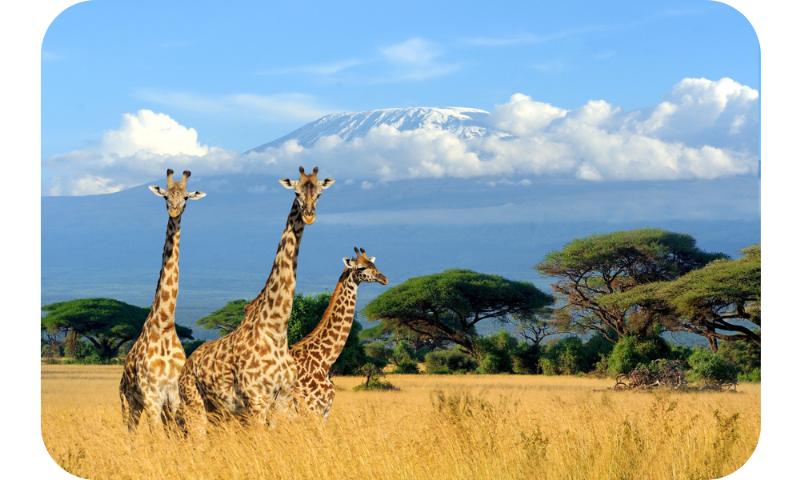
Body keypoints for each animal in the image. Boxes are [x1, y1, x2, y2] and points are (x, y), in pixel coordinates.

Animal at [119, 169, 206, 432]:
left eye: (186, 198)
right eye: (166, 196)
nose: (174, 211)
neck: (165, 325)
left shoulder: (174, 396)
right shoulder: (152, 396)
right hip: (128, 403)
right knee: (129, 434)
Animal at [177, 166, 334, 431]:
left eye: (320, 194)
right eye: (296, 192)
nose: (309, 215)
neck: (276, 330)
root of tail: (186, 366)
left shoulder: (283, 399)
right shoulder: (256, 400)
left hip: (219, 412)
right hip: (194, 405)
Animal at [291, 247, 388, 419]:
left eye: (374, 265)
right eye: (361, 267)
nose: (383, 278)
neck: (324, 361)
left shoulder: (324, 412)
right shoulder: (313, 409)